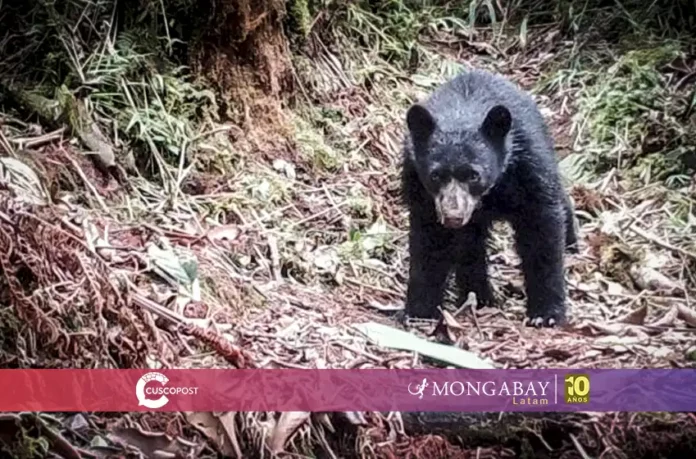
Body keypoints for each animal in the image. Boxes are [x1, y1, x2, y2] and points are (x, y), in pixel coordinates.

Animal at [400, 69, 578, 327]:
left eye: (474, 175)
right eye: (435, 175)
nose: (453, 216)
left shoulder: (529, 166)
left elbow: (541, 232)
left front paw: (546, 314)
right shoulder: (419, 186)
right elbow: (429, 242)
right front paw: (420, 311)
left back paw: (572, 240)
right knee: (470, 246)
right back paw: (479, 296)